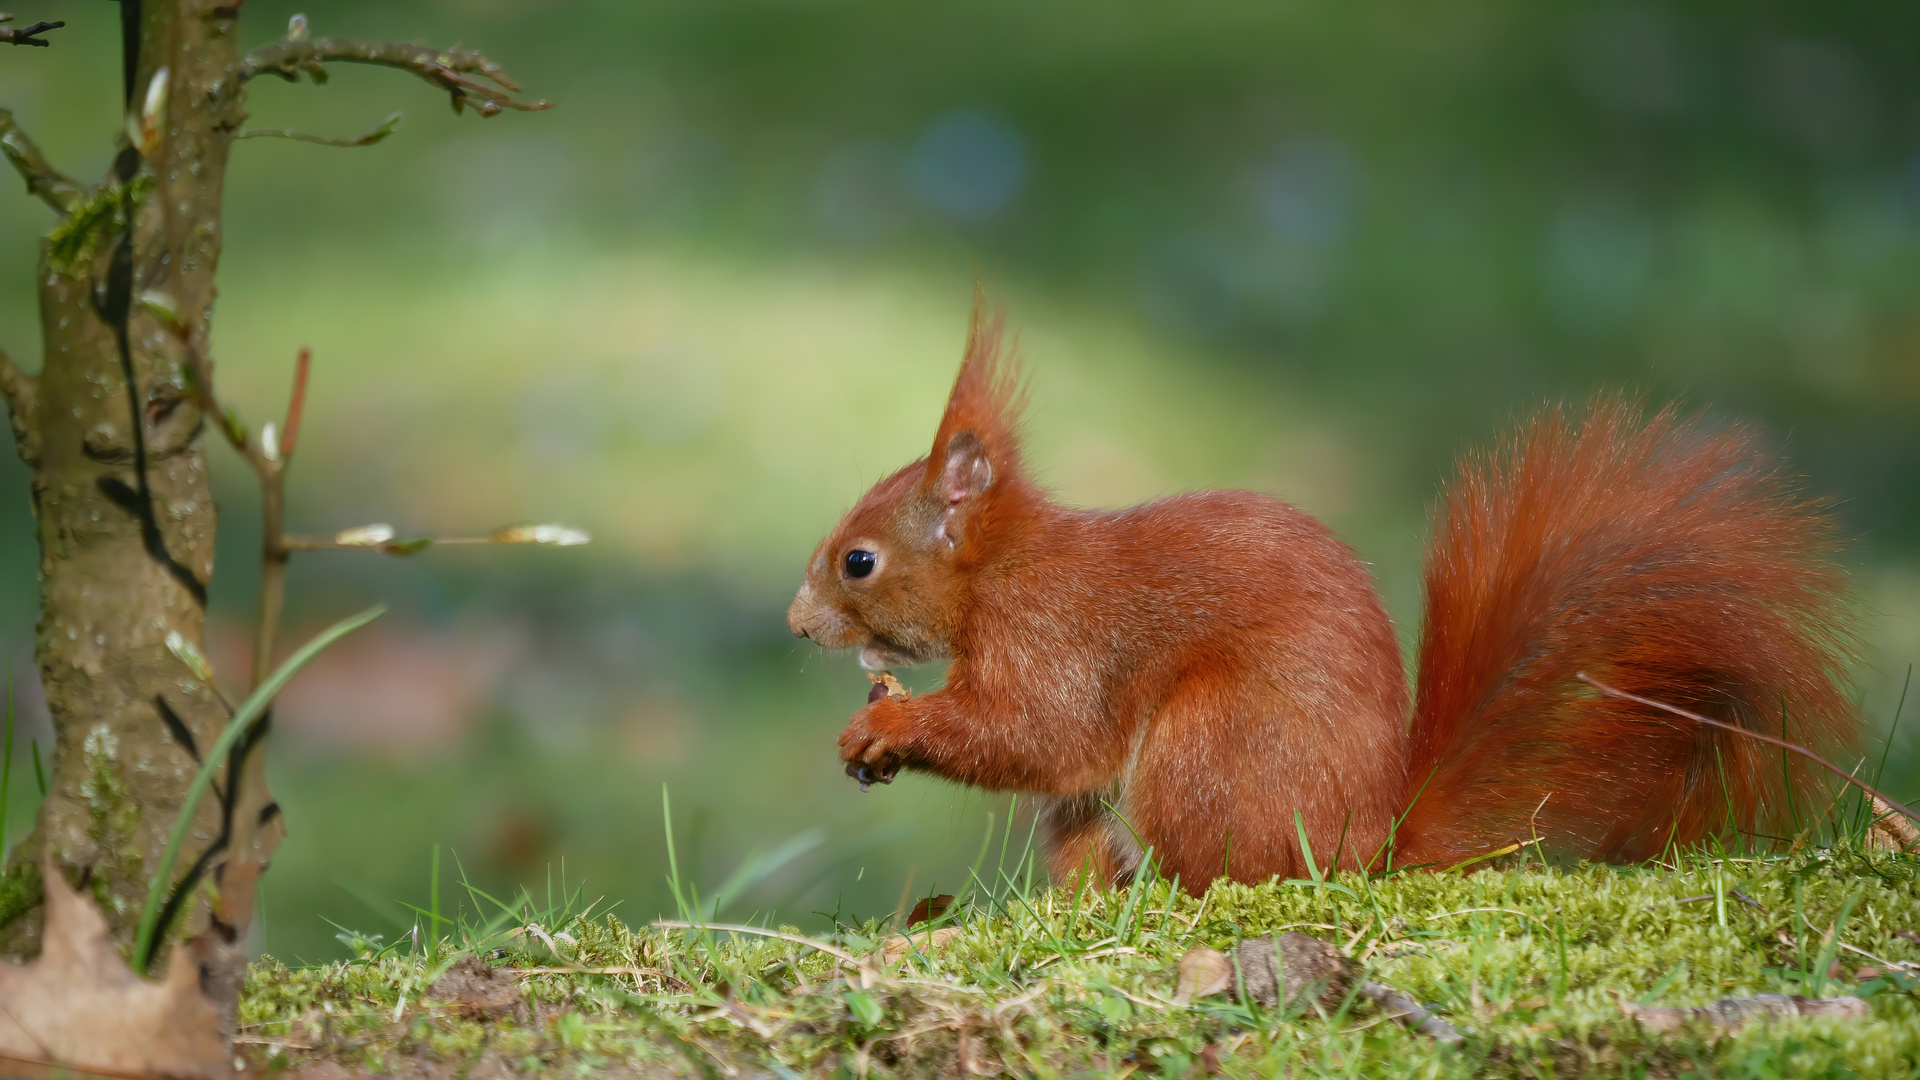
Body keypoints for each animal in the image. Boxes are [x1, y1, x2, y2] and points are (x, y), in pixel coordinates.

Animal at [779, 297, 1858, 887]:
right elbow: (1051, 762)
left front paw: (885, 727)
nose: (794, 625)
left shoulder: (1056, 638)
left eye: (858, 561)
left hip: (1209, 749)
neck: (1004, 570)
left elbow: (1036, 733)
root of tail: (1372, 839)